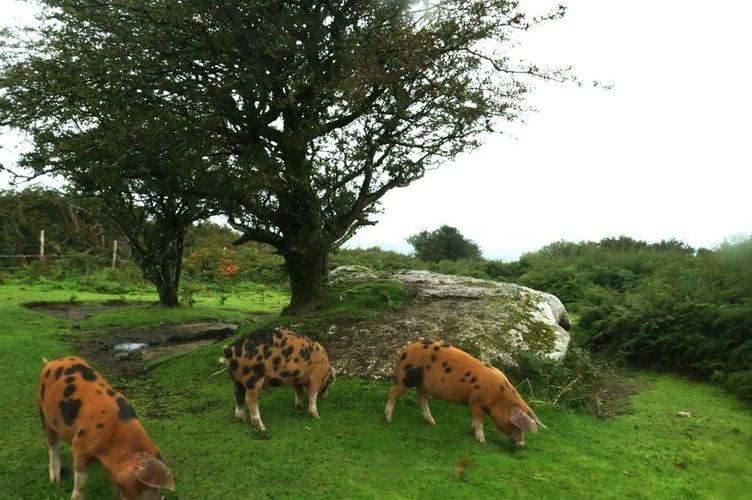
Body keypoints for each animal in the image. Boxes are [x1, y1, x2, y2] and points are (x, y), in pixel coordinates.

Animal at [37, 356, 175, 500]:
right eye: (142, 485)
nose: (159, 497)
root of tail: (52, 362)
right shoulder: (79, 447)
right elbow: (81, 480)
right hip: (42, 410)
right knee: (52, 444)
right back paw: (55, 479)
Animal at [384, 340, 545, 446]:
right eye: (516, 425)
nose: (522, 444)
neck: (498, 398)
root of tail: (403, 352)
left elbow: (475, 420)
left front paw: (472, 431)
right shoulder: (476, 403)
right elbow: (479, 422)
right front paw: (482, 441)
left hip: (422, 385)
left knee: (421, 399)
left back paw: (432, 422)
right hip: (405, 379)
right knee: (393, 392)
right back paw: (388, 419)